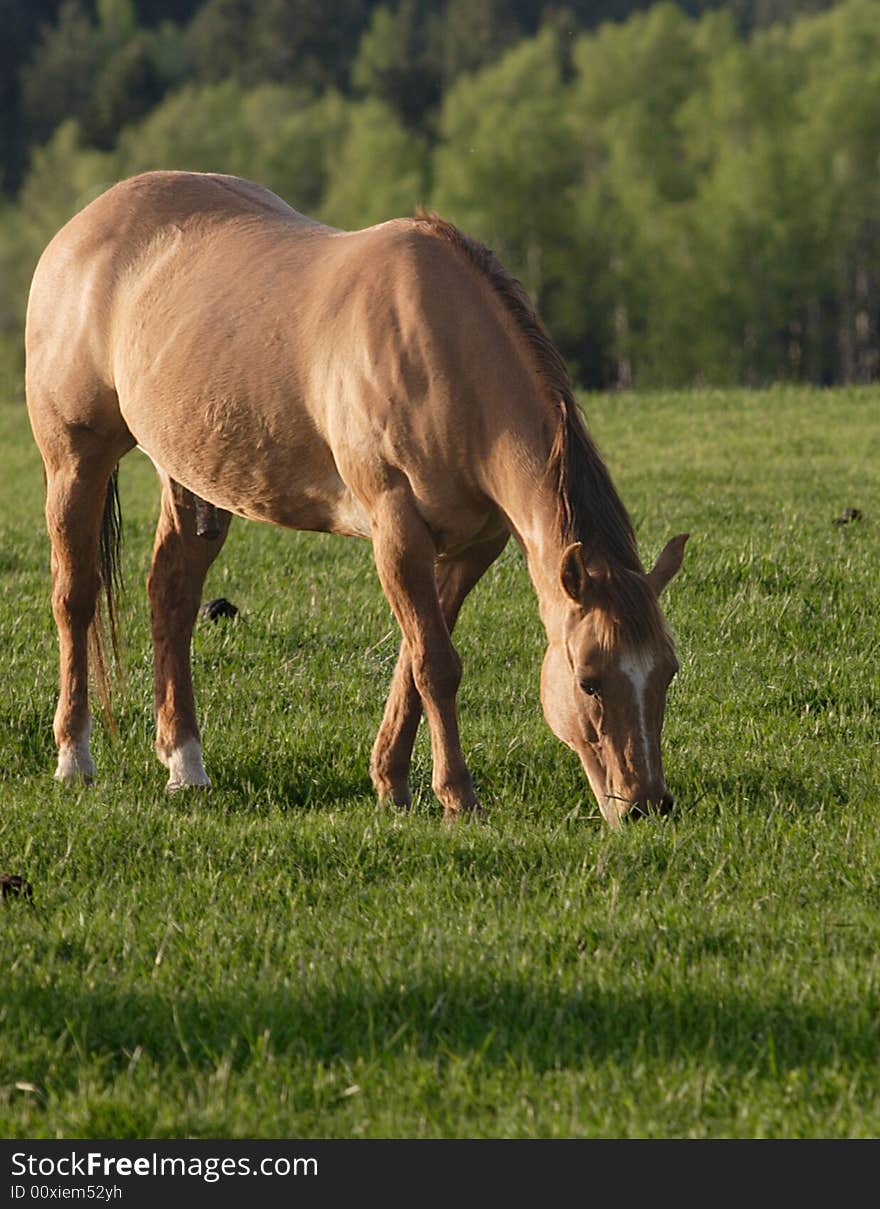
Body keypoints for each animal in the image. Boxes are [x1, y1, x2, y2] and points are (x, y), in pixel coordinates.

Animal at [24, 170, 686, 826]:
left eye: (667, 672)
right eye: (589, 680)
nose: (647, 806)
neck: (442, 352)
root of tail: (82, 227)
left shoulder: (470, 547)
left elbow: (415, 662)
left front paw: (392, 782)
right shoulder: (397, 530)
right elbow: (435, 664)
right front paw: (458, 797)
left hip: (191, 477)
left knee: (172, 599)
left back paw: (185, 765)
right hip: (74, 462)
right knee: (74, 599)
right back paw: (74, 758)